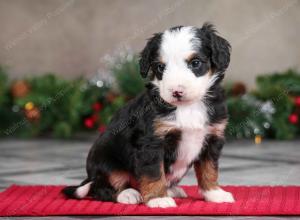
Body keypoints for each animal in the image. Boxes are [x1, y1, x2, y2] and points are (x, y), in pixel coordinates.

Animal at [62, 23, 234, 208]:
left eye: (195, 63)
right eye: (160, 67)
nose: (176, 92)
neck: (188, 107)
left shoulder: (212, 137)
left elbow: (209, 169)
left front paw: (215, 193)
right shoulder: (152, 142)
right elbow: (153, 172)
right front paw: (158, 198)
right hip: (106, 163)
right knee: (101, 188)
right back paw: (128, 194)